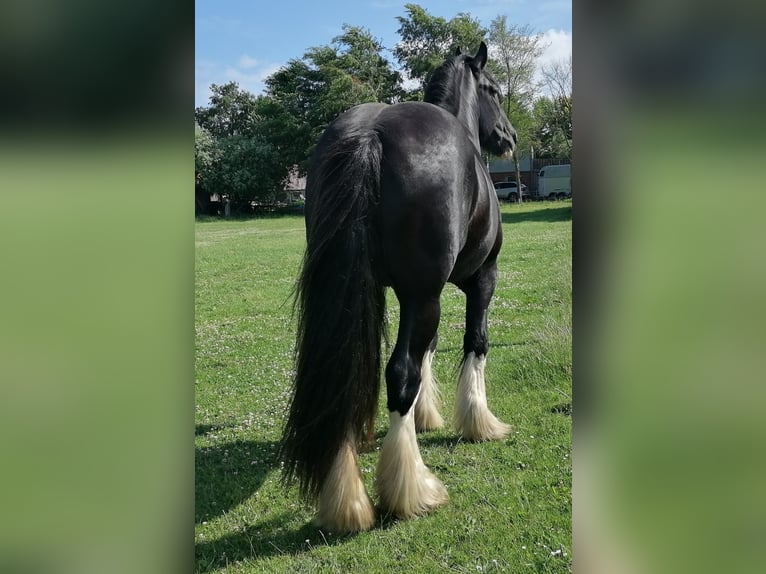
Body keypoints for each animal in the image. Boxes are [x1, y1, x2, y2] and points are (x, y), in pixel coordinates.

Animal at [279, 42, 517, 533]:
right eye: (493, 90)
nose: (510, 136)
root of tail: (372, 132)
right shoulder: (479, 279)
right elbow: (474, 343)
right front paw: (479, 422)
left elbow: (429, 351)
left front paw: (428, 416)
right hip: (423, 295)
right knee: (400, 372)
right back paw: (411, 490)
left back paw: (346, 500)